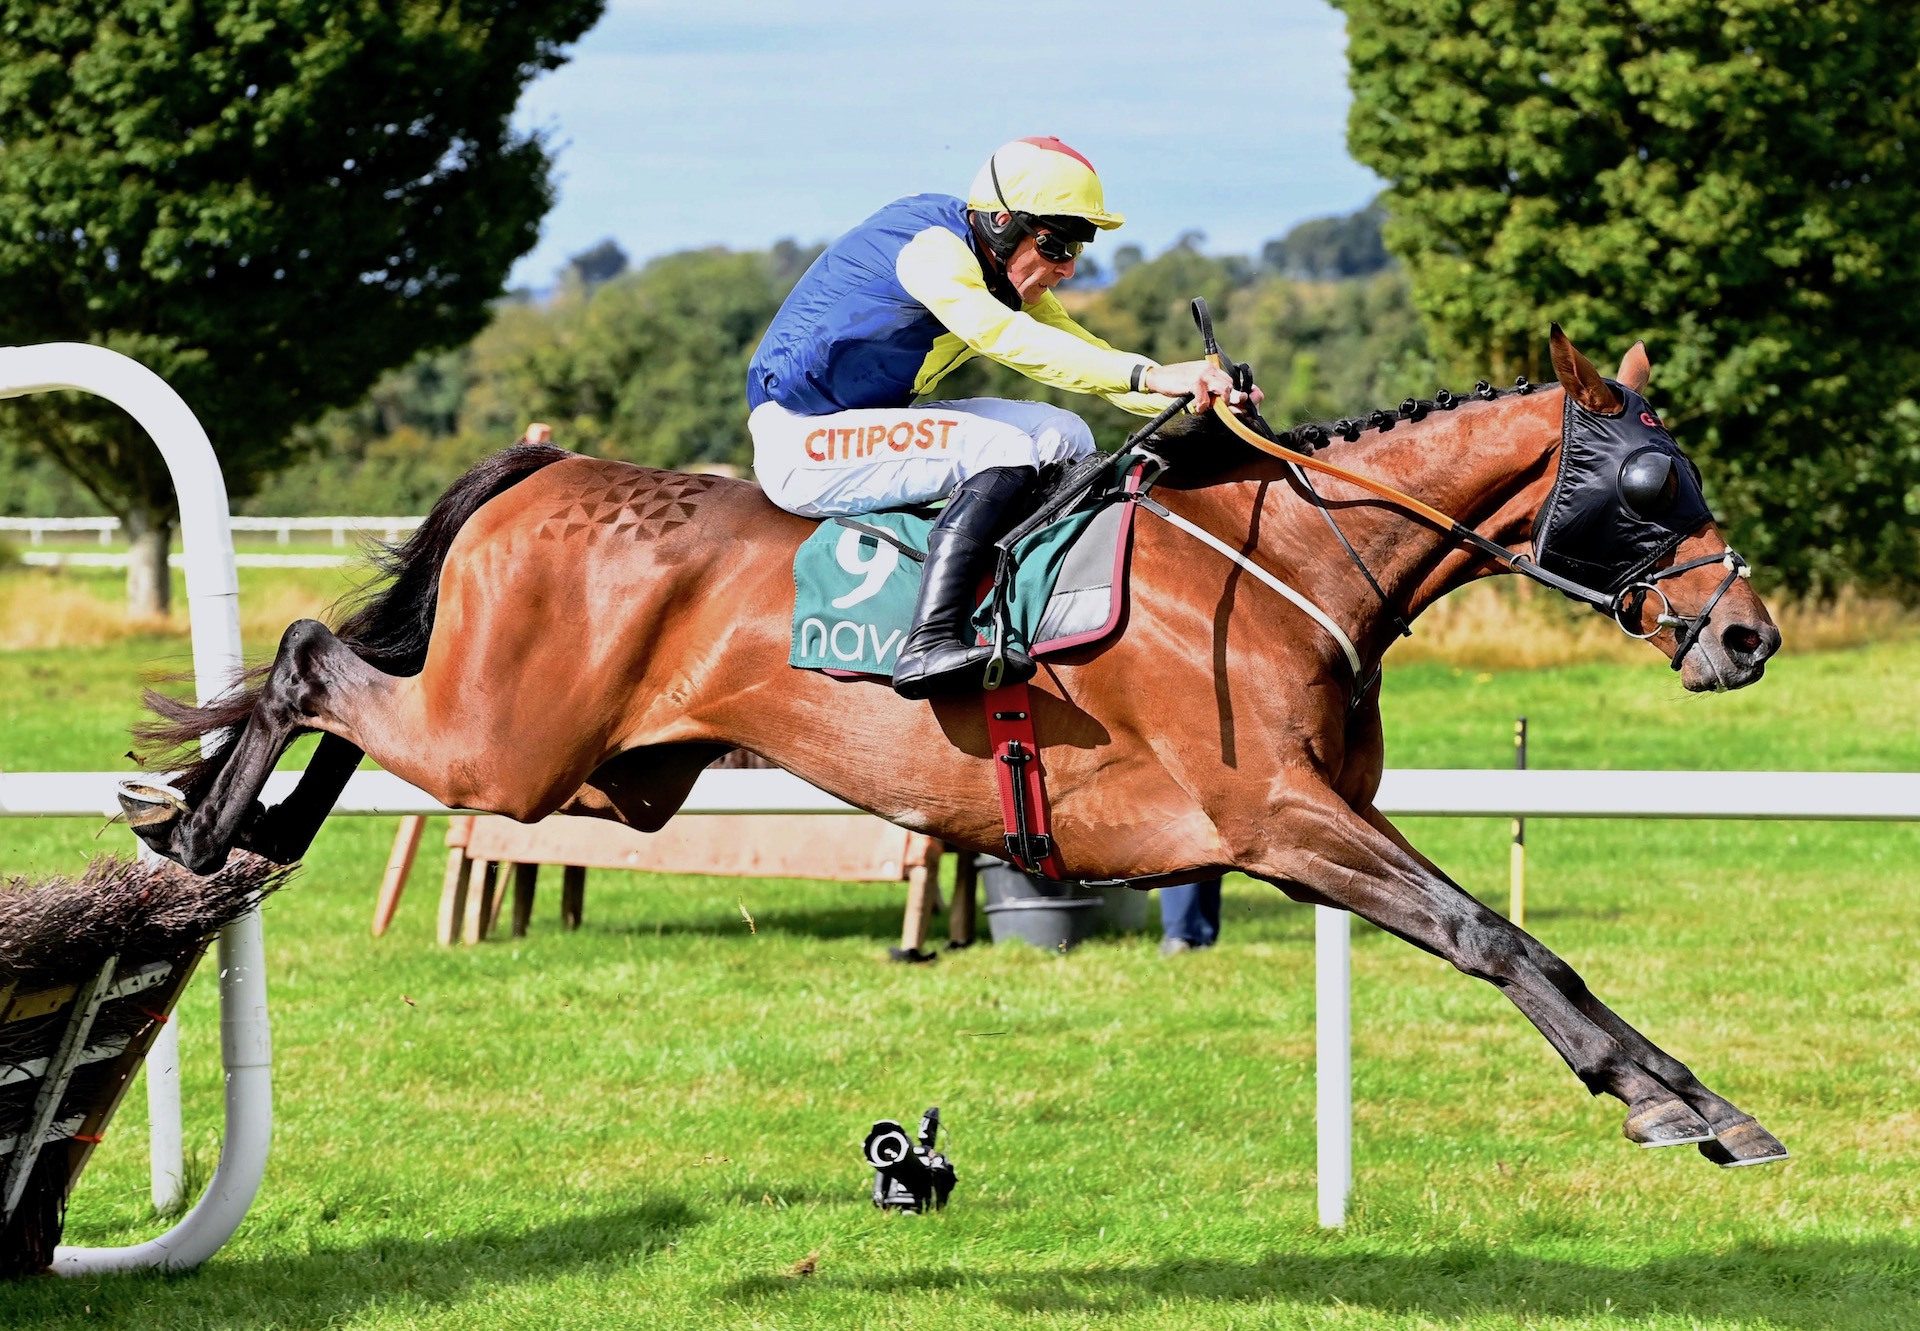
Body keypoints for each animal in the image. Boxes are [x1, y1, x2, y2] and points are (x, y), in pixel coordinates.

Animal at [131, 330, 1781, 1160]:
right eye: (1652, 485)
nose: (1748, 635)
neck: (1285, 560)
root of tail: (548, 471)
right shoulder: (1275, 815)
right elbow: (1496, 933)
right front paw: (1673, 1100)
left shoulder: (1304, 831)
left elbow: (1501, 932)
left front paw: (1695, 1093)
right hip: (511, 749)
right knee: (311, 657)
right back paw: (206, 828)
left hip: (602, 767)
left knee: (349, 694)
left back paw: (242, 829)